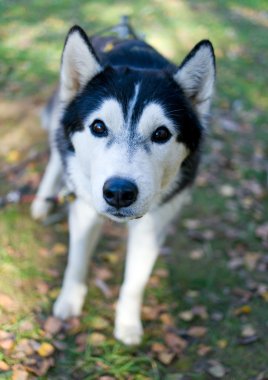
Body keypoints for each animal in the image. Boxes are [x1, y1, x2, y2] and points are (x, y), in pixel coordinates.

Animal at [31, 22, 216, 346]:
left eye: (161, 133)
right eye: (98, 127)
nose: (119, 192)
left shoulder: (152, 227)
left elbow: (135, 282)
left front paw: (128, 324)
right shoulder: (84, 209)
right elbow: (77, 260)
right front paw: (69, 302)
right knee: (56, 155)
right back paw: (43, 200)